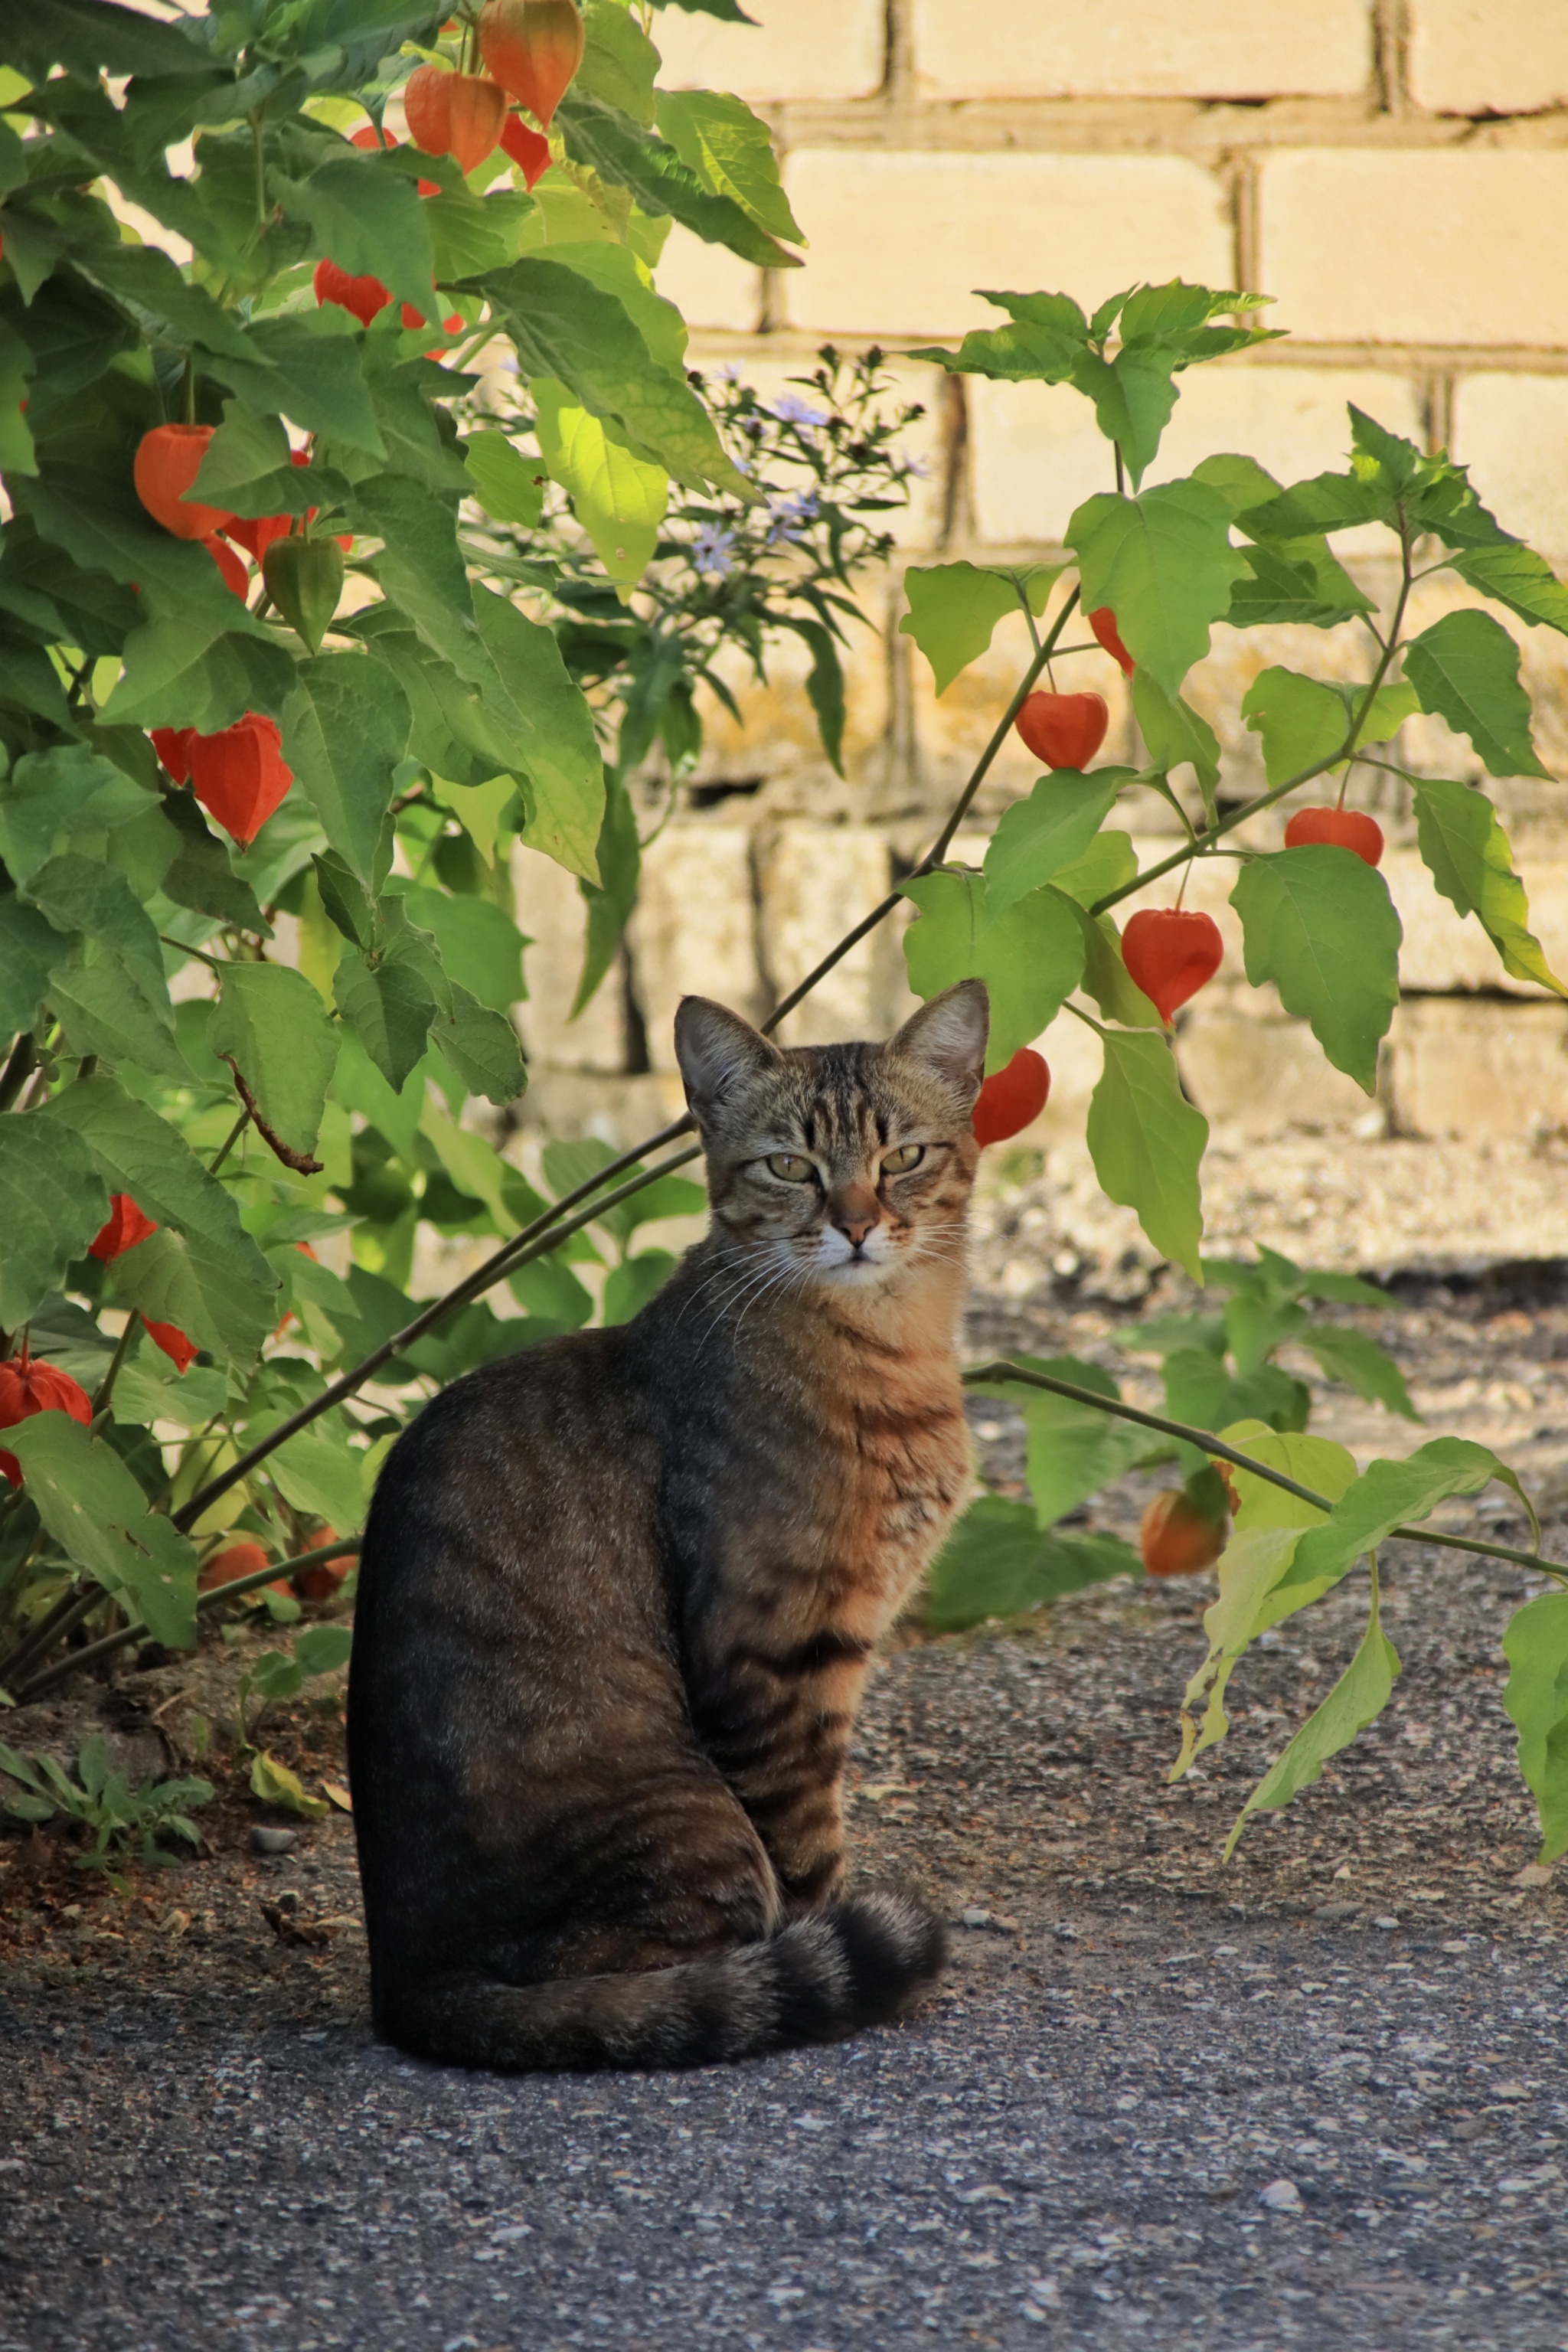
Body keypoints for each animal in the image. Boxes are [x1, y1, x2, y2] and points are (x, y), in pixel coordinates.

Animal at [348, 973, 987, 2079]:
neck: (892, 1354)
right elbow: (806, 1843)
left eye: (902, 1157)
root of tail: (412, 1987)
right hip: (687, 1818)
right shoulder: (772, 1648)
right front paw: (822, 1943)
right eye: (790, 1166)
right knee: (630, 1982)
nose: (858, 1226)